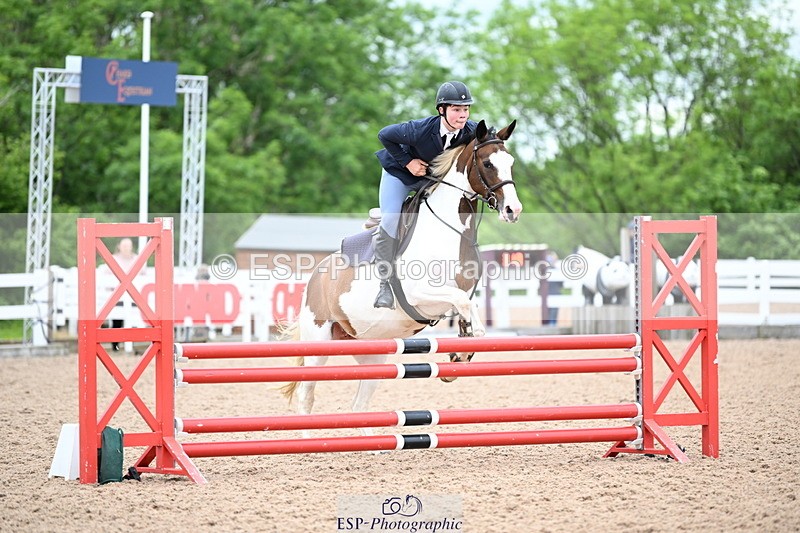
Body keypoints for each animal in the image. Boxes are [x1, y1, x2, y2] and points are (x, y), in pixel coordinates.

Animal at [280, 119, 522, 437]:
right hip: (318, 342)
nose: (513, 210)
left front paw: (460, 353)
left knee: (359, 405)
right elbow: (463, 303)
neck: (449, 230)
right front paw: (471, 339)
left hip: (373, 352)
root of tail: (314, 277)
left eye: (511, 163)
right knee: (306, 396)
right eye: (487, 163)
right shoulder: (419, 294)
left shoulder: (462, 292)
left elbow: (466, 305)